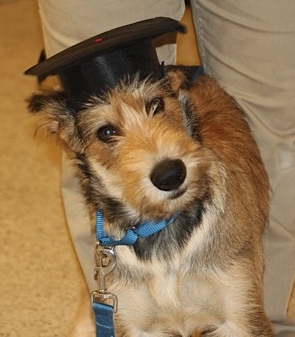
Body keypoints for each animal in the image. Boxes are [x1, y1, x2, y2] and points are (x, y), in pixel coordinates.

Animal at [26, 66, 274, 336]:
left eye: (156, 104)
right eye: (106, 132)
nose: (171, 175)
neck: (162, 234)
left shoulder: (241, 316)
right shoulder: (131, 322)